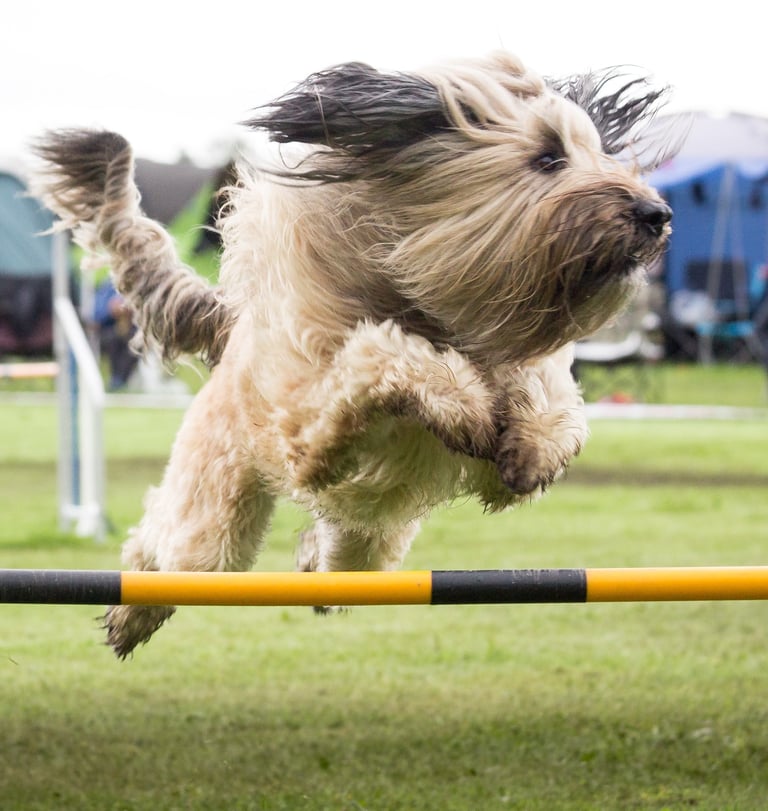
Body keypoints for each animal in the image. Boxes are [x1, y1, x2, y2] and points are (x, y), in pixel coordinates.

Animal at [32, 51, 672, 658]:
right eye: (548, 158)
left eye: (596, 152)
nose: (657, 215)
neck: (432, 306)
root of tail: (232, 329)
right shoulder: (307, 426)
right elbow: (380, 354)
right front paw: (461, 404)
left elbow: (547, 393)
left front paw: (533, 446)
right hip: (217, 514)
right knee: (168, 547)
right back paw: (130, 614)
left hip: (366, 543)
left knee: (333, 552)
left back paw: (309, 561)